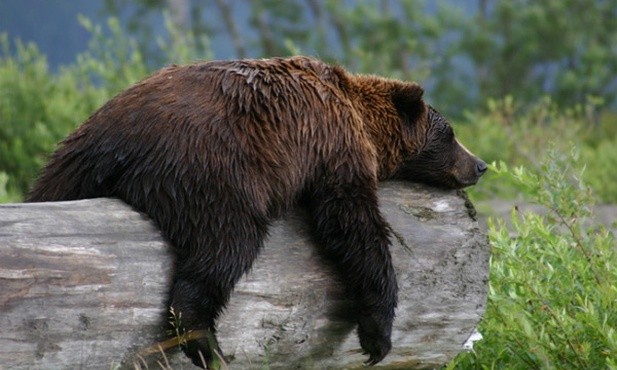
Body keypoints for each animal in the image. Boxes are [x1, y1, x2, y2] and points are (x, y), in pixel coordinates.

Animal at [26, 55, 486, 368]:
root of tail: (115, 143)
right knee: (226, 245)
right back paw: (205, 343)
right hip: (212, 171)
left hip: (68, 165)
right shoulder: (334, 146)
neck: (358, 116)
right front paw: (377, 335)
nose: (480, 165)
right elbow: (352, 225)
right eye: (450, 134)